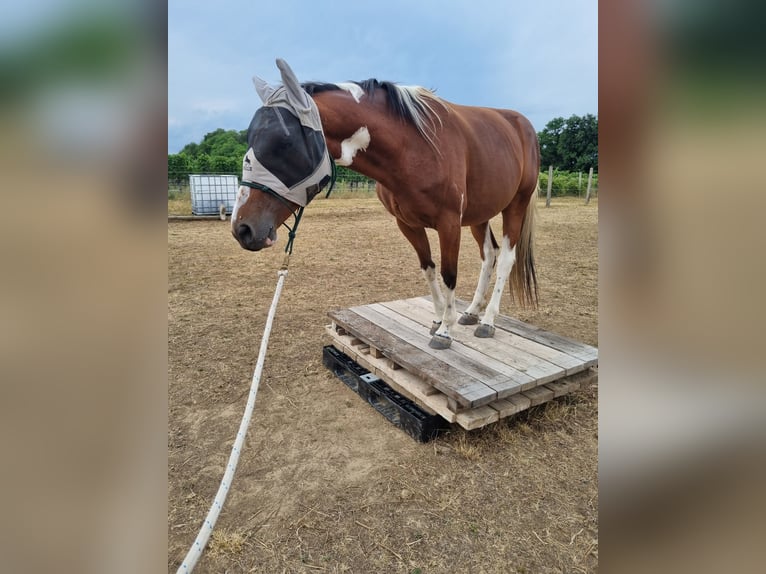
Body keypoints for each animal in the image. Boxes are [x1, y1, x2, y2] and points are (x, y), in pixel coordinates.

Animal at [232, 59, 539, 350]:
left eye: (284, 143)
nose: (242, 229)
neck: (415, 147)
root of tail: (522, 125)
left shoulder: (449, 223)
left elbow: (449, 274)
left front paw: (445, 331)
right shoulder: (407, 224)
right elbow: (429, 268)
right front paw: (440, 319)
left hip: (516, 205)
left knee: (506, 258)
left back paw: (487, 321)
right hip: (479, 214)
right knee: (489, 254)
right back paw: (473, 312)